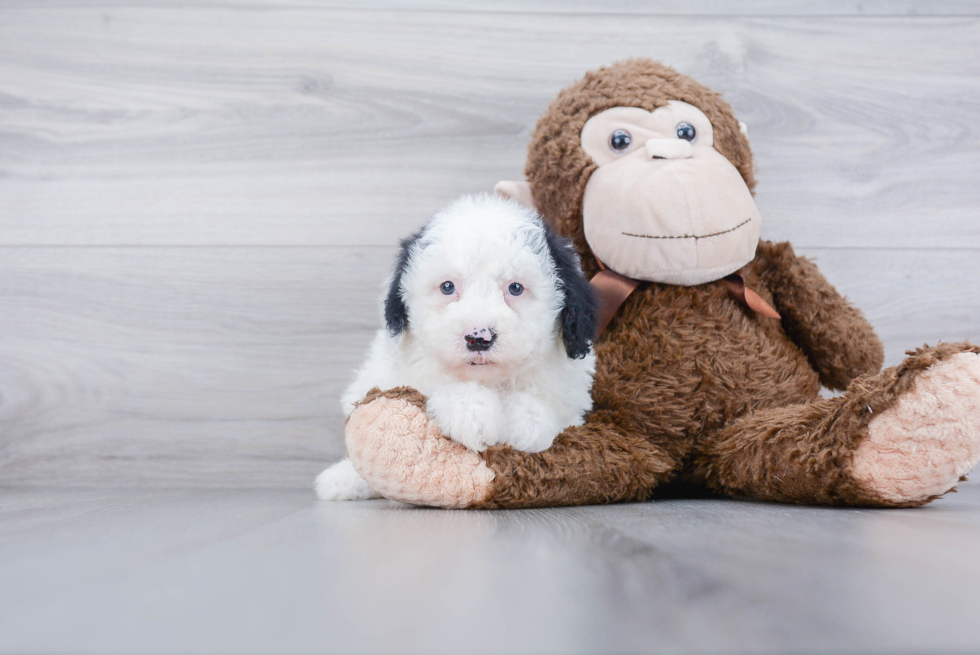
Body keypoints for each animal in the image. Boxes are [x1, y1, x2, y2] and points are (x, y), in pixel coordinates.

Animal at [316, 195, 596, 502]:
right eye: (448, 286)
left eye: (516, 288)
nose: (478, 337)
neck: (488, 381)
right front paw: (471, 412)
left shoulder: (569, 394)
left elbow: (545, 404)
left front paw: (525, 423)